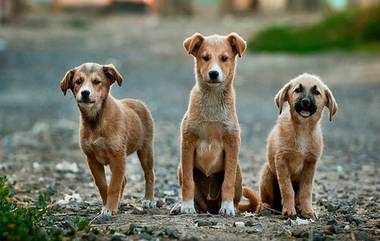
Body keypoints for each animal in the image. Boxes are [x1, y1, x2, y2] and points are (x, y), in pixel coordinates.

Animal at [60, 62, 155, 218]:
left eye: (97, 81)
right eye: (78, 81)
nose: (85, 93)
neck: (96, 120)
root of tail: (138, 102)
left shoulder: (118, 156)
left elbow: (114, 186)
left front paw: (110, 208)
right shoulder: (92, 159)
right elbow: (103, 185)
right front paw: (107, 205)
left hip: (145, 149)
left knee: (149, 174)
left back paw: (149, 200)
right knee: (124, 179)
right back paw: (120, 202)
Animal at [171, 33, 246, 216]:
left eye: (224, 58)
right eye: (205, 57)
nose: (213, 73)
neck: (212, 99)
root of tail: (210, 206)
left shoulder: (232, 142)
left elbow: (227, 182)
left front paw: (227, 207)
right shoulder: (188, 143)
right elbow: (188, 183)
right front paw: (187, 206)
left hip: (238, 170)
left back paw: (231, 206)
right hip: (180, 168)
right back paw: (182, 206)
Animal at [240, 73, 338, 218]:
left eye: (316, 92)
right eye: (298, 90)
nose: (305, 102)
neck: (303, 130)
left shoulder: (310, 164)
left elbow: (306, 191)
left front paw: (308, 211)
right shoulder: (281, 161)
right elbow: (287, 189)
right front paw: (289, 210)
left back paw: (298, 207)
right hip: (267, 173)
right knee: (266, 201)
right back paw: (268, 208)